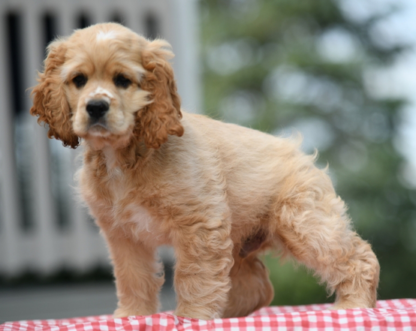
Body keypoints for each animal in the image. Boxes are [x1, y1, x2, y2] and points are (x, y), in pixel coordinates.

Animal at [30, 23, 380, 322]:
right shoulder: (123, 234)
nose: (96, 107)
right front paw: (132, 315)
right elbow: (133, 276)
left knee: (356, 257)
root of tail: (302, 153)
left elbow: (194, 275)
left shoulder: (198, 225)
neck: (125, 156)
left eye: (122, 80)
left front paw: (192, 317)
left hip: (304, 224)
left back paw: (354, 306)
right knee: (257, 287)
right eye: (79, 80)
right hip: (242, 245)